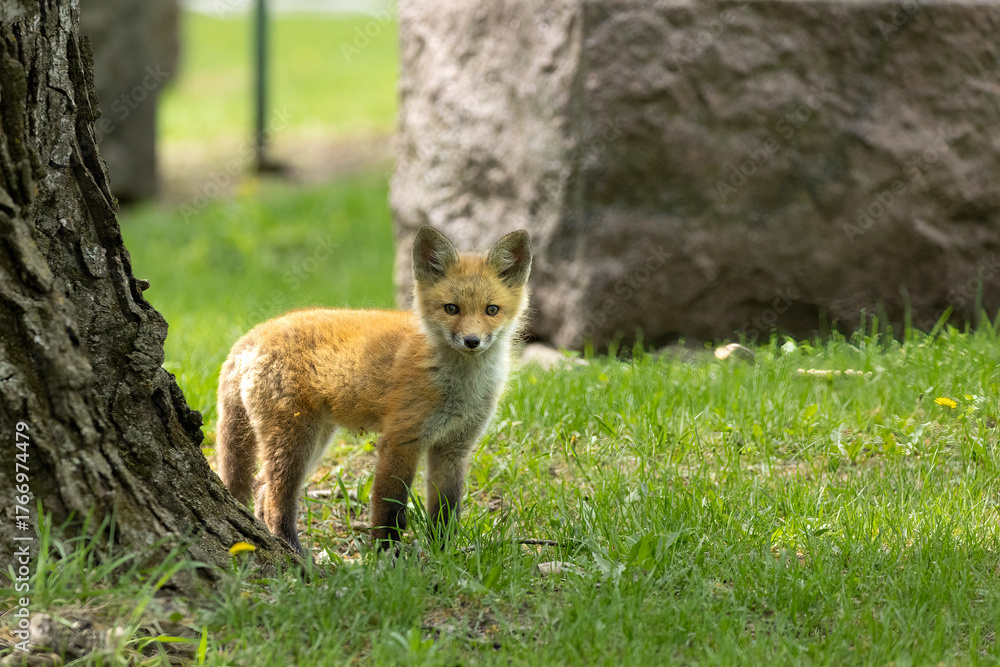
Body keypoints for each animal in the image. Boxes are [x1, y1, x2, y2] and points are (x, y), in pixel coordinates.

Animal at [215, 227, 532, 554]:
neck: (460, 386)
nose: (472, 341)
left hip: (315, 440)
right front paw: (387, 555)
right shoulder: (400, 440)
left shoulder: (454, 448)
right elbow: (389, 508)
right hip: (294, 441)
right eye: (451, 309)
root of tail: (252, 335)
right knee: (275, 498)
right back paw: (293, 551)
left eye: (491, 310)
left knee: (261, 488)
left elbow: (445, 511)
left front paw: (442, 554)